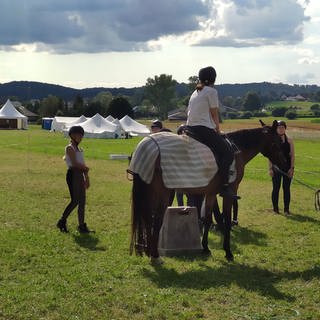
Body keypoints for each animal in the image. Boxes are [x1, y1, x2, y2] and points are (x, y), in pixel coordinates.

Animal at [129, 119, 286, 264]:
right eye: (277, 141)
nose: (285, 163)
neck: (237, 148)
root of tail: (149, 145)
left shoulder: (210, 193)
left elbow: (208, 219)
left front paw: (205, 248)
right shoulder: (230, 191)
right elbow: (227, 219)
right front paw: (228, 252)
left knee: (149, 219)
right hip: (164, 193)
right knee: (156, 220)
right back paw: (155, 256)